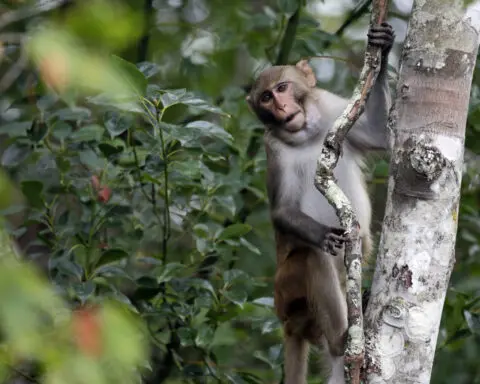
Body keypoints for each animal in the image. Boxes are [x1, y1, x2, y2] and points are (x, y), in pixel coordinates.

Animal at [246, 24, 396, 384]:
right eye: (266, 98)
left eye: (282, 88)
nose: (281, 107)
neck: (307, 133)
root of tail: (288, 324)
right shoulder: (274, 149)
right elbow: (282, 211)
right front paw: (322, 234)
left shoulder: (331, 107)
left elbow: (379, 135)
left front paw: (382, 49)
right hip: (287, 292)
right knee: (311, 258)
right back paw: (342, 340)